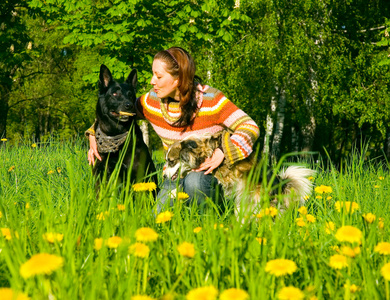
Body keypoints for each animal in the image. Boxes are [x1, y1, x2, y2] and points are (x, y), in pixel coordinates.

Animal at [92, 64, 158, 193]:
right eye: (114, 94)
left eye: (130, 95)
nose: (129, 105)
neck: (114, 133)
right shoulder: (101, 173)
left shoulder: (138, 174)